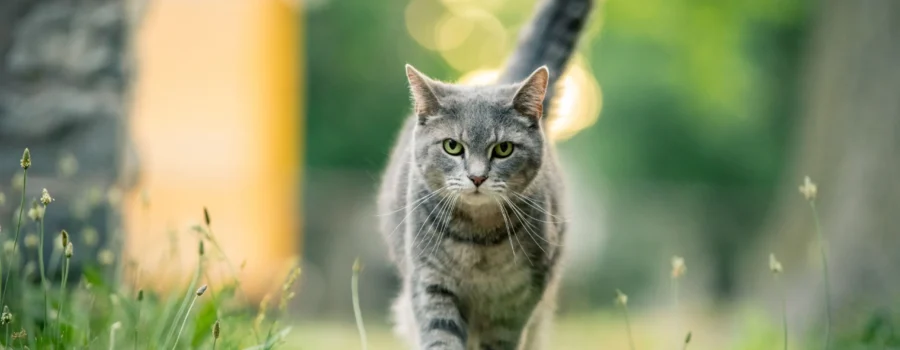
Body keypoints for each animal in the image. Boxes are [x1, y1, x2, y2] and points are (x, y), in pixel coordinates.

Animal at [376, 1, 596, 348]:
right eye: (452, 146)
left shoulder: (518, 300)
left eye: (503, 149)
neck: (478, 242)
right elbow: (441, 337)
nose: (477, 177)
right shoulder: (430, 284)